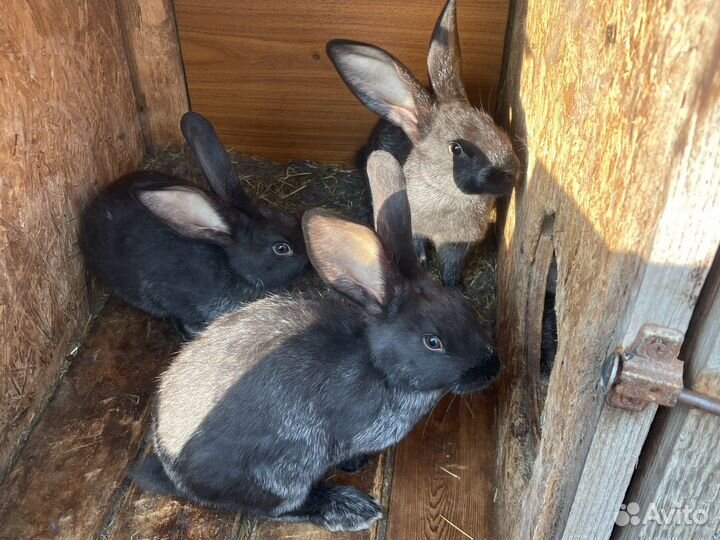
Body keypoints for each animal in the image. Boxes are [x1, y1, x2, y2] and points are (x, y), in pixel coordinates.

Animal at [132, 151, 501, 532]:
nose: (492, 368)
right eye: (433, 342)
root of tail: (176, 475)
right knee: (279, 508)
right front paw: (355, 467)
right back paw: (350, 508)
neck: (380, 368)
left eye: (465, 308)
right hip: (285, 470)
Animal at [326, 0, 520, 287]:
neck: (445, 193)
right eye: (456, 149)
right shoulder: (413, 227)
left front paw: (454, 283)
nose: (513, 173)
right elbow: (416, 246)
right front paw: (422, 264)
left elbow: (452, 263)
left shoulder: (458, 243)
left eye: (493, 123)